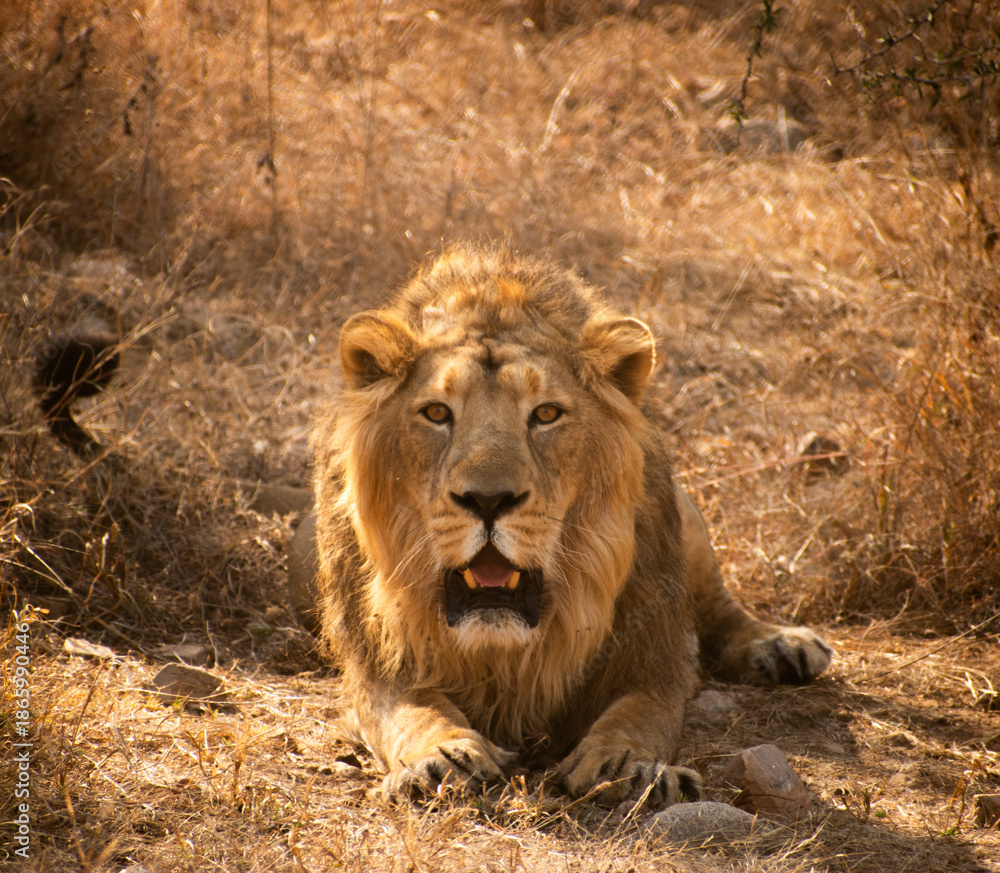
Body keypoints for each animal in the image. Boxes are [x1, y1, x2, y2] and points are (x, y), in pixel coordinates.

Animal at [300, 246, 832, 806]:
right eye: (437, 412)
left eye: (547, 414)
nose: (488, 499)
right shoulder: (378, 662)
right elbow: (411, 710)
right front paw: (443, 757)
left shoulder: (653, 652)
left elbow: (641, 714)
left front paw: (625, 764)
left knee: (716, 604)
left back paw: (779, 645)